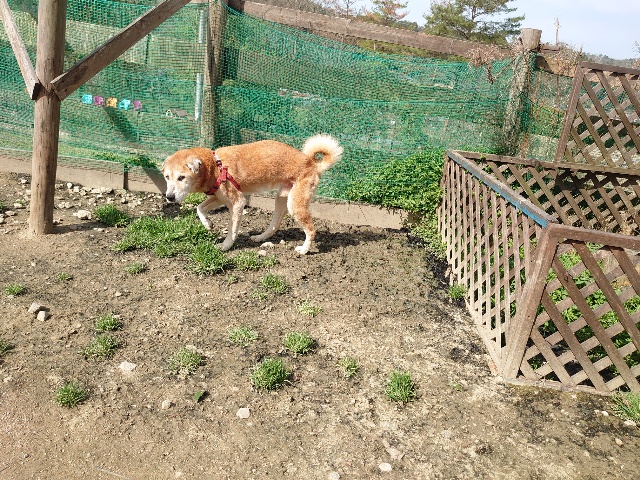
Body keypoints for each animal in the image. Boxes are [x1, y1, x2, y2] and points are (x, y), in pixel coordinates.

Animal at [161, 134, 343, 254]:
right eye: (167, 177)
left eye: (181, 177)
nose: (169, 197)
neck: (214, 167)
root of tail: (312, 163)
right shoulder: (218, 198)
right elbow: (199, 208)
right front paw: (207, 224)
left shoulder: (237, 202)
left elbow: (232, 229)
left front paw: (225, 246)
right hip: (282, 198)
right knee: (275, 225)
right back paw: (260, 238)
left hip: (294, 204)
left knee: (311, 230)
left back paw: (304, 249)